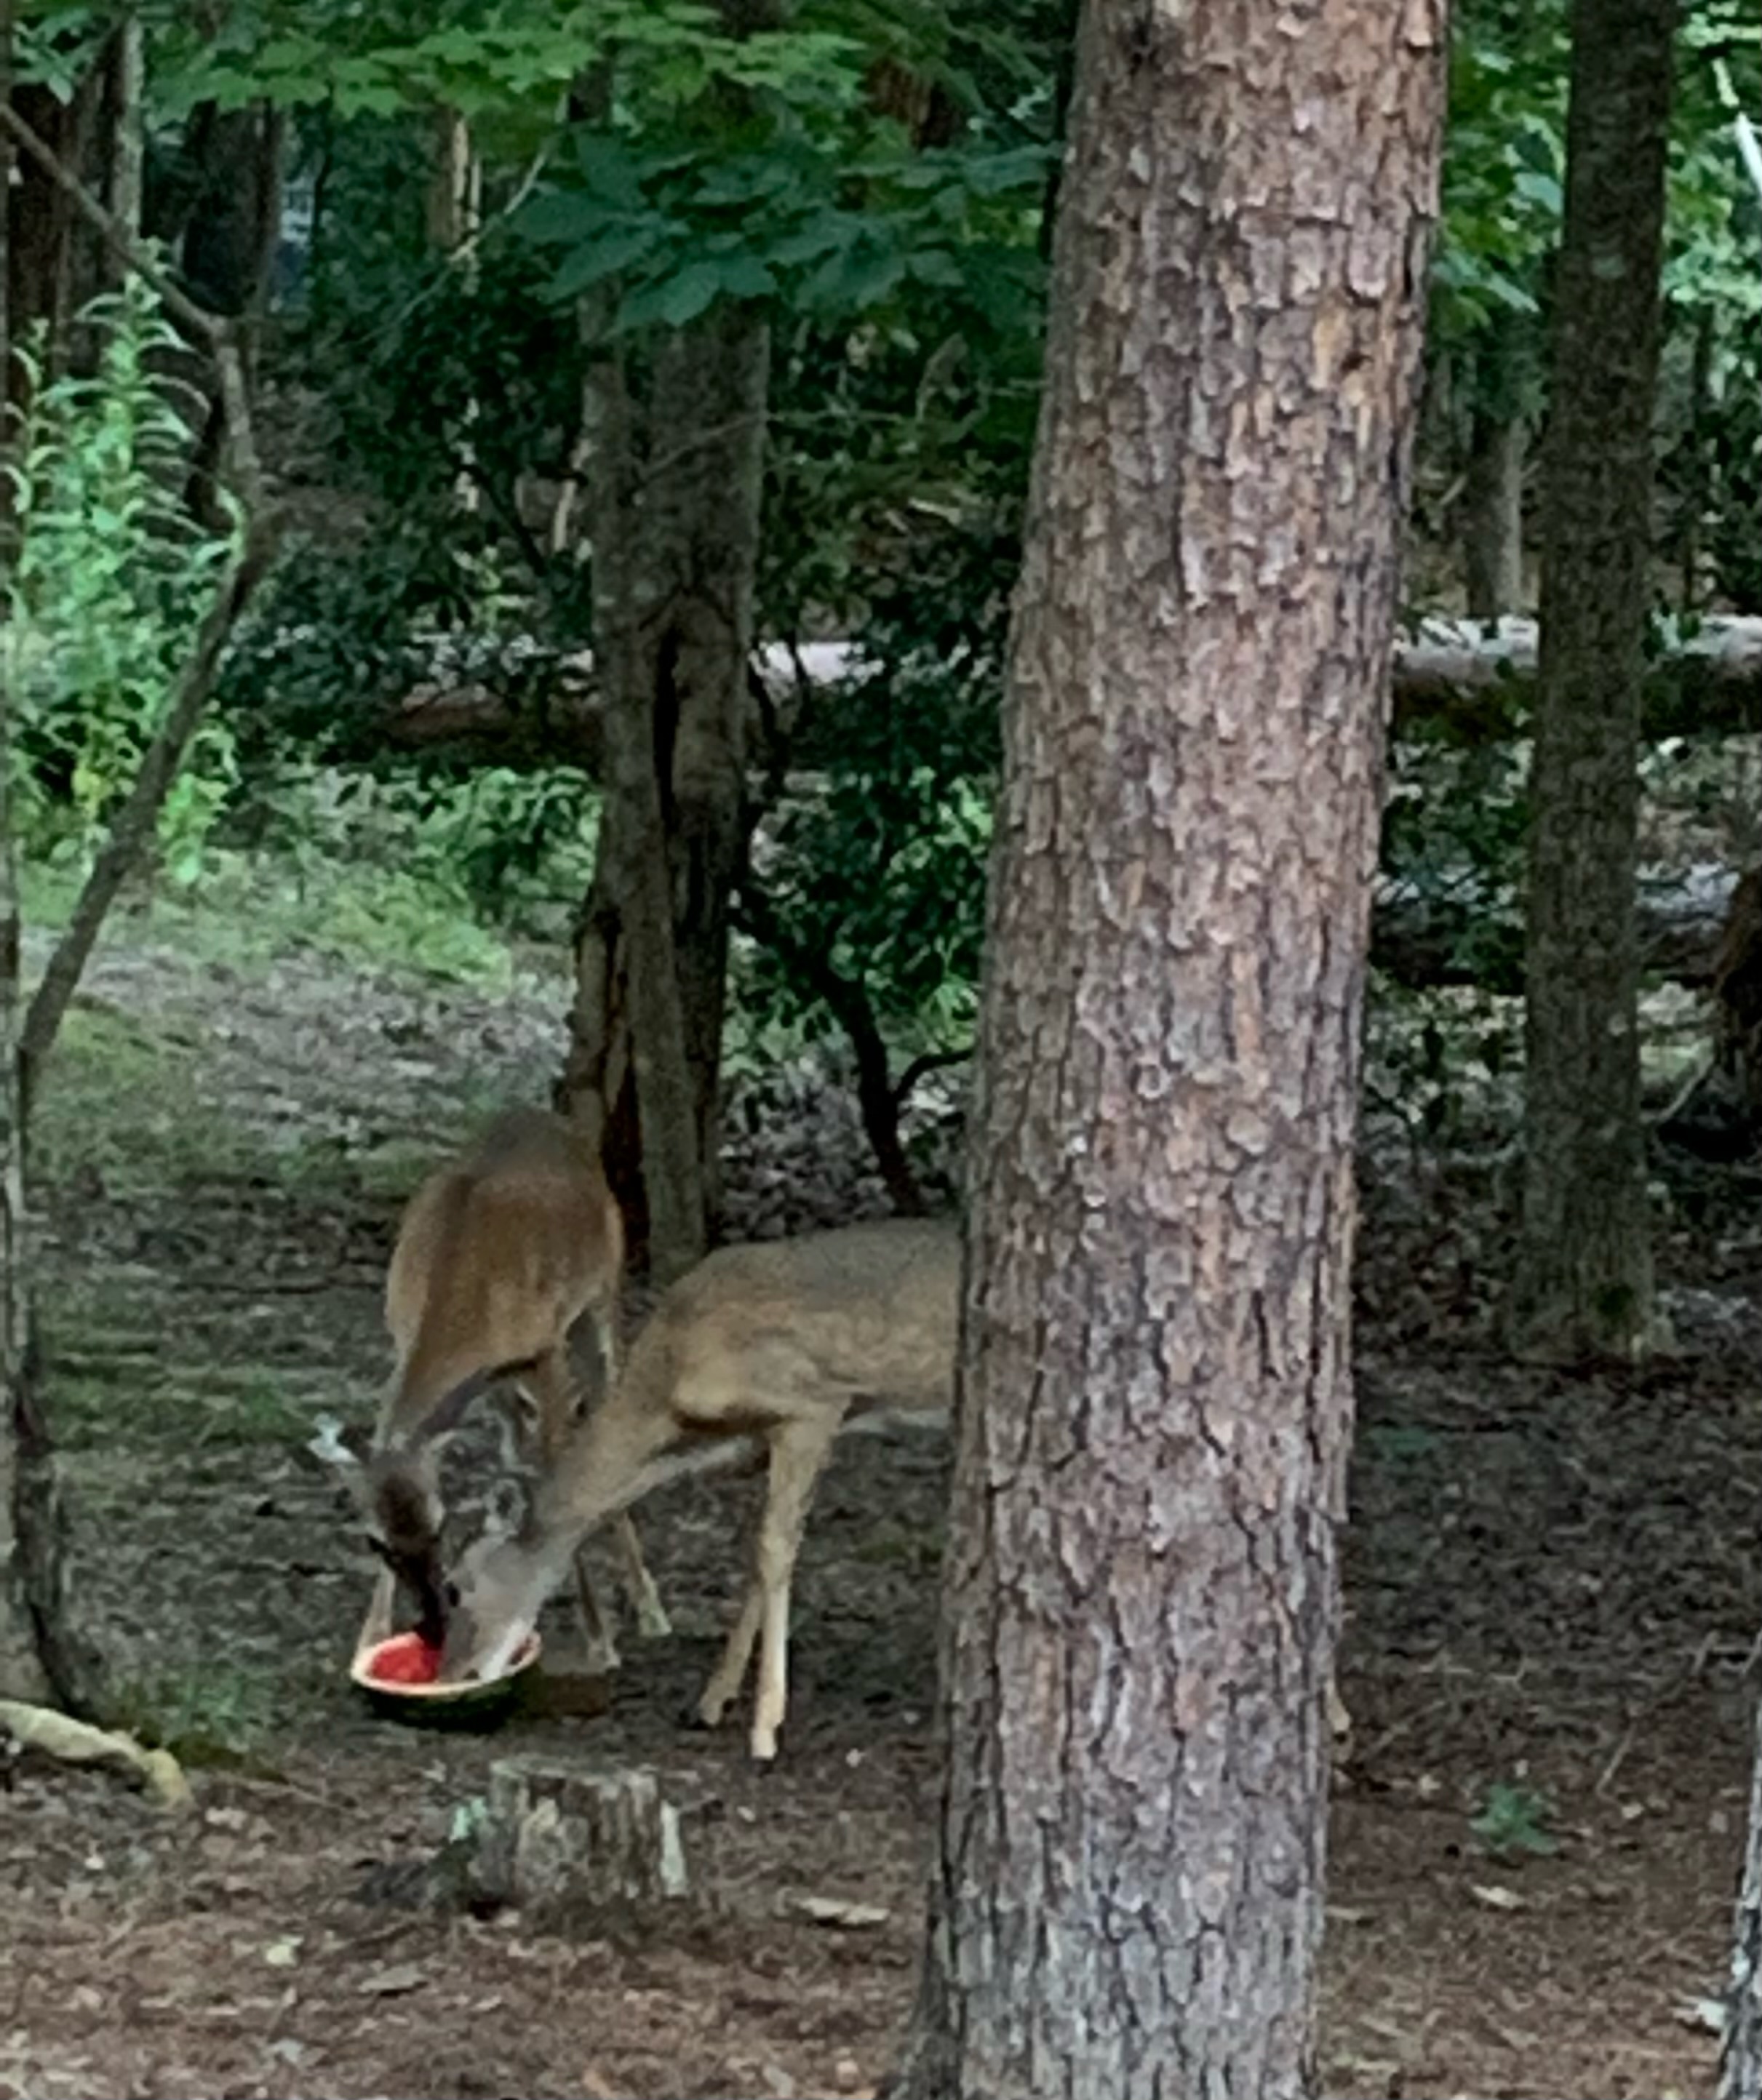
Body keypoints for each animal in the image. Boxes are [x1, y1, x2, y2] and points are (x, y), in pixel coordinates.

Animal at [314, 1106, 670, 1675]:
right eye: (377, 1543)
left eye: (441, 1527)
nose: (433, 1627)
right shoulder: (415, 1345)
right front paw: (369, 1637)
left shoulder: (545, 1349)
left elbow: (560, 1468)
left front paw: (600, 1639)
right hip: (506, 1386)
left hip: (600, 1299)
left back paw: (650, 1606)